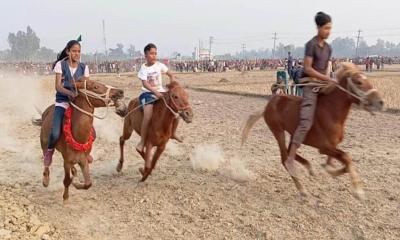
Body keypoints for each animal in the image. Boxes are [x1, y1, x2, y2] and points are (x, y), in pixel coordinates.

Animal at [241, 62, 384, 200]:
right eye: (359, 82)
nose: (380, 102)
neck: (331, 112)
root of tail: (268, 105)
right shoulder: (324, 147)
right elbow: (346, 158)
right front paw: (358, 192)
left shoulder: (332, 146)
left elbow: (336, 163)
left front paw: (331, 171)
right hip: (278, 131)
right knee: (285, 158)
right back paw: (302, 190)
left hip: (293, 133)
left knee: (290, 151)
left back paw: (309, 167)